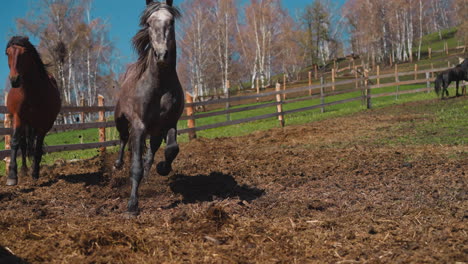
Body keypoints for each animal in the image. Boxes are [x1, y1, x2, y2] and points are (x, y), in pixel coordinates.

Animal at [4, 36, 61, 186]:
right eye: (7, 53)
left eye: (24, 53)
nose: (14, 80)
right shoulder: (18, 117)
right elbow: (15, 142)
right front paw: (12, 176)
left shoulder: (44, 124)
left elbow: (38, 148)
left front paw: (35, 173)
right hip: (25, 123)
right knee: (23, 145)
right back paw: (23, 170)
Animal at [114, 0, 184, 214]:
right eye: (149, 23)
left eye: (171, 22)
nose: (161, 55)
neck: (160, 86)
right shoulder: (139, 126)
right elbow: (135, 166)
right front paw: (132, 206)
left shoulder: (170, 123)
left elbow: (172, 149)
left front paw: (163, 168)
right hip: (121, 120)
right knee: (123, 139)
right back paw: (117, 164)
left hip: (155, 131)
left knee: (150, 152)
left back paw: (149, 171)